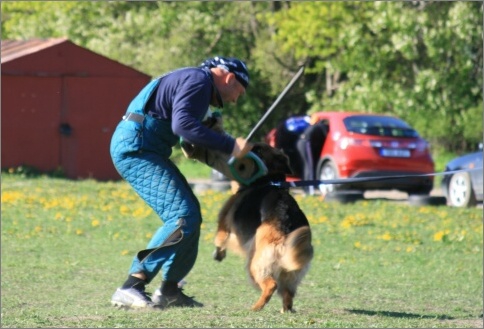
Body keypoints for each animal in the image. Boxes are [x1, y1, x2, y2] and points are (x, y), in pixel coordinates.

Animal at [213, 142, 314, 312]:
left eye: (257, 149)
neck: (268, 180)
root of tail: (286, 223)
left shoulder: (225, 223)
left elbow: (219, 239)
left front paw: (219, 254)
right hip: (290, 273)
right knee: (288, 293)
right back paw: (285, 310)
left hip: (256, 263)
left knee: (271, 285)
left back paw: (256, 307)